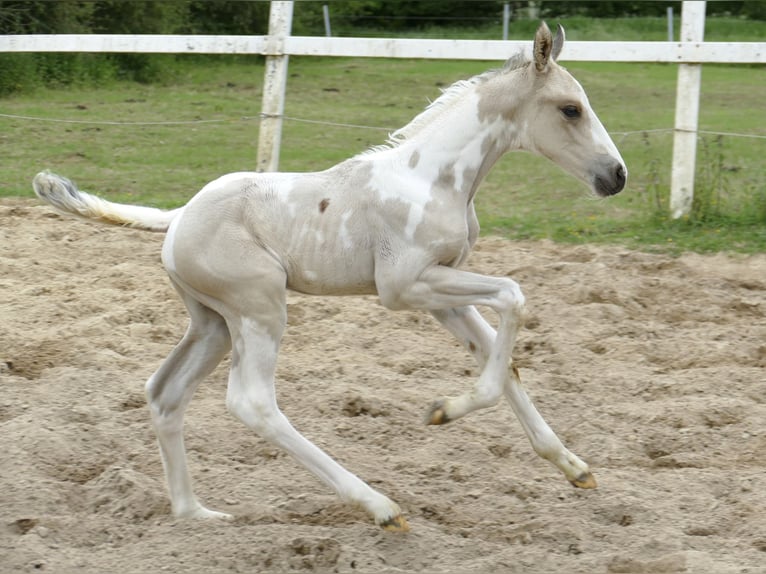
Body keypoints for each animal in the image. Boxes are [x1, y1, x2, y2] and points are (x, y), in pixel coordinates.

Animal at [33, 23, 626, 532]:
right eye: (571, 109)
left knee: (164, 393)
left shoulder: (442, 290)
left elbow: (503, 361)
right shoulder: (403, 287)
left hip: (214, 323)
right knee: (252, 403)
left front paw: (574, 468)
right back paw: (380, 506)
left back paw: (195, 514)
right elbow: (513, 296)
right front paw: (442, 411)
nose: (616, 176)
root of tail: (177, 217)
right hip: (260, 309)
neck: (434, 179)